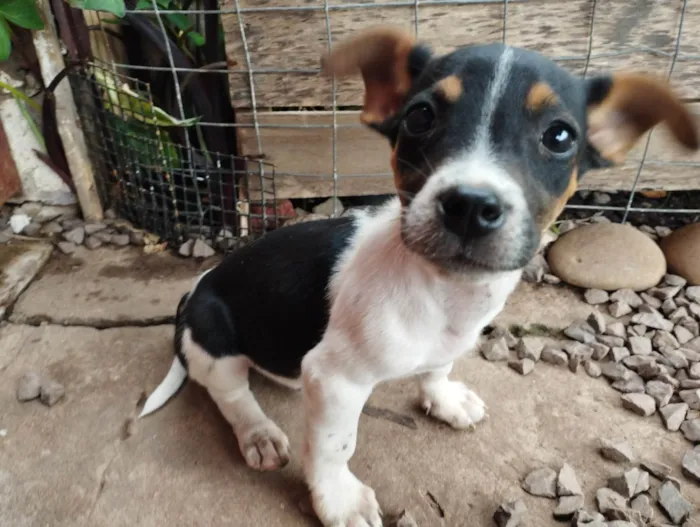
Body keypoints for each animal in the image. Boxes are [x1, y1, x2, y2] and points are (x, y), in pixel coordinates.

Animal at [139, 26, 696, 527]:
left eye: (559, 136)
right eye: (420, 115)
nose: (470, 206)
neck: (442, 291)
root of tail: (194, 293)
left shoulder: (441, 344)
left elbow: (437, 368)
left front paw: (443, 398)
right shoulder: (336, 380)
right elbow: (335, 445)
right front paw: (338, 500)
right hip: (213, 337)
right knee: (231, 394)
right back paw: (259, 434)